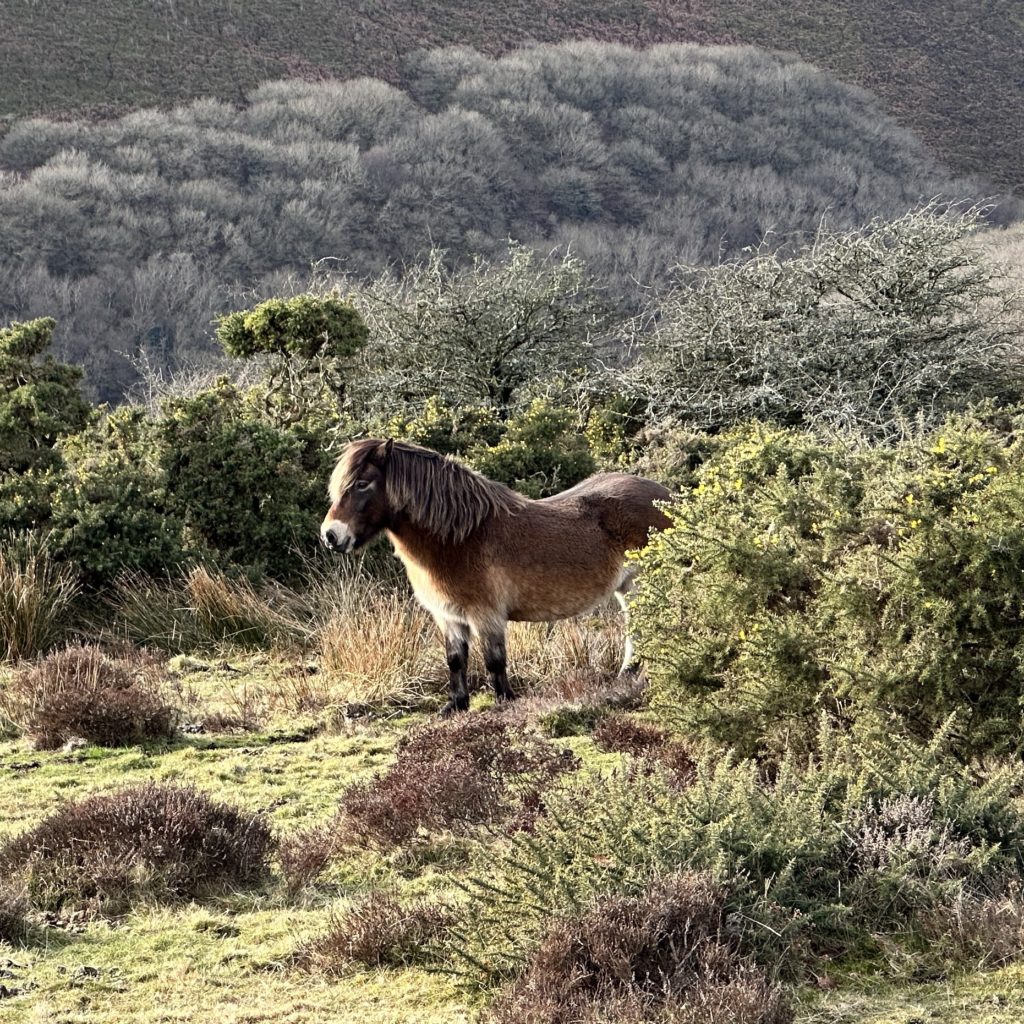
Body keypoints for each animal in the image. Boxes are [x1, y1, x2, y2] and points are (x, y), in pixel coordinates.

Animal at [321, 438, 671, 712]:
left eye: (362, 484)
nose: (330, 536)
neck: (461, 537)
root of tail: (666, 496)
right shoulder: (449, 617)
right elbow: (456, 660)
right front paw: (456, 705)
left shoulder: (486, 614)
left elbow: (494, 660)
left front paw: (504, 701)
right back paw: (627, 675)